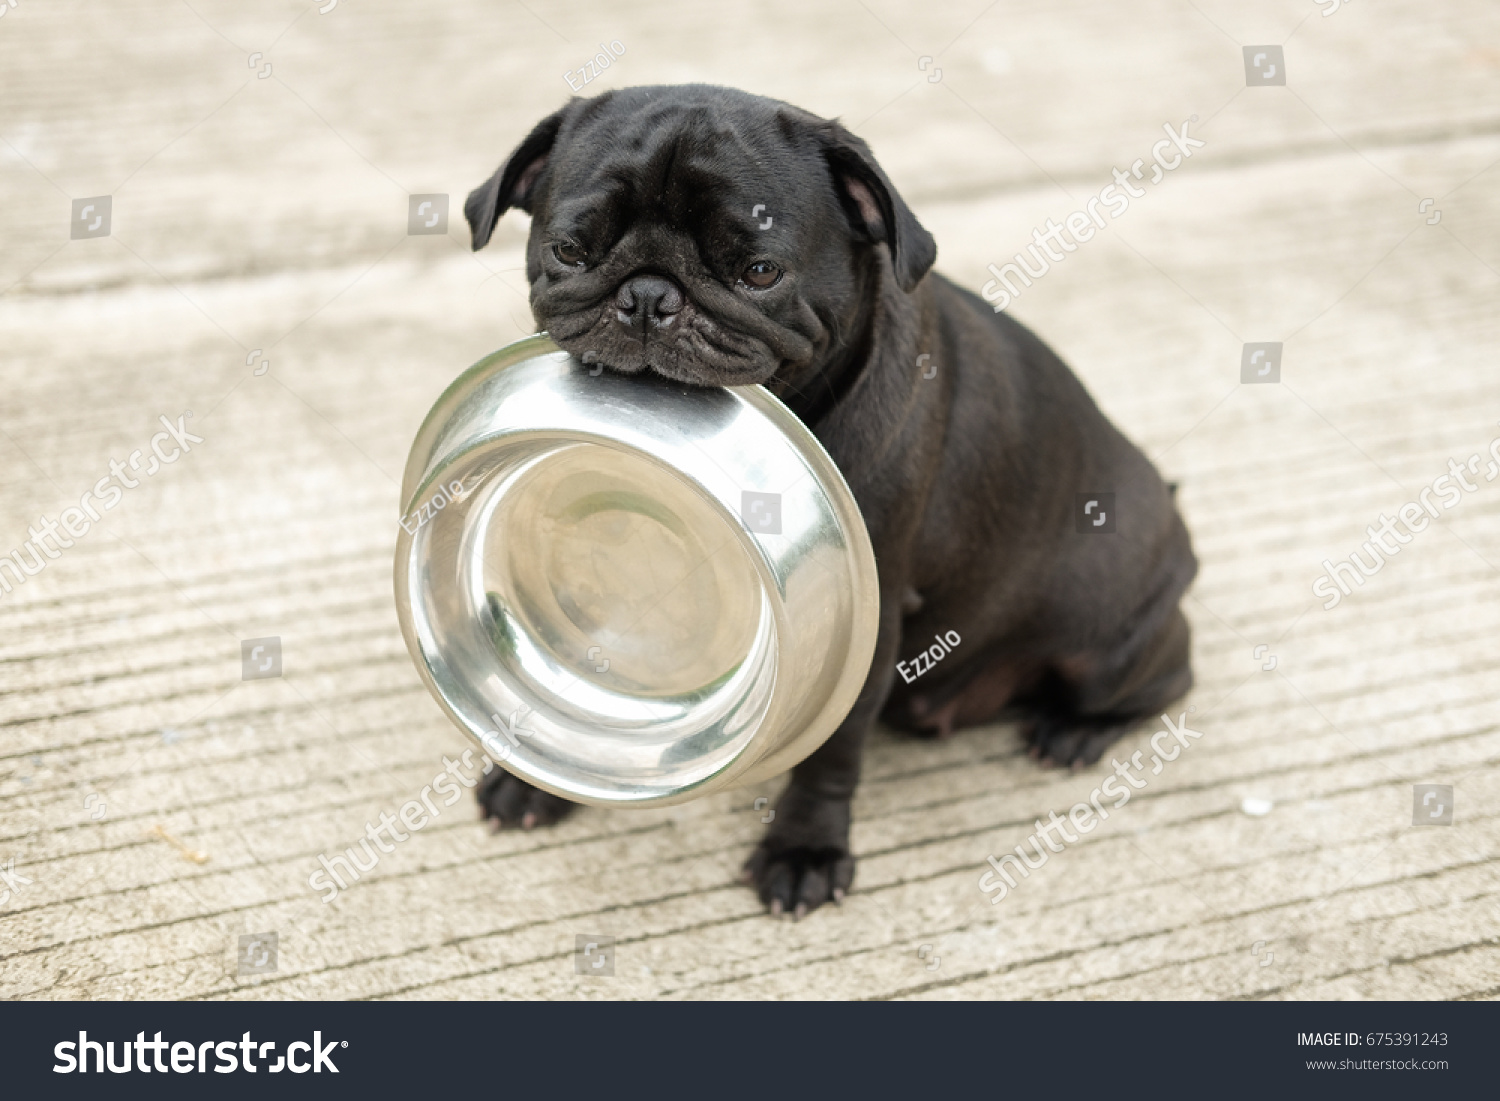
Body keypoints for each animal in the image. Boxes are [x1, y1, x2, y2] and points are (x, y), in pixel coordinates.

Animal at [459, 81, 1194, 918]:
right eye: (570, 251)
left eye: (759, 270)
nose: (647, 294)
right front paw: (531, 777)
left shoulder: (868, 634)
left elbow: (831, 753)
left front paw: (805, 847)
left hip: (1109, 650)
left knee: (1165, 679)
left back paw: (1073, 731)